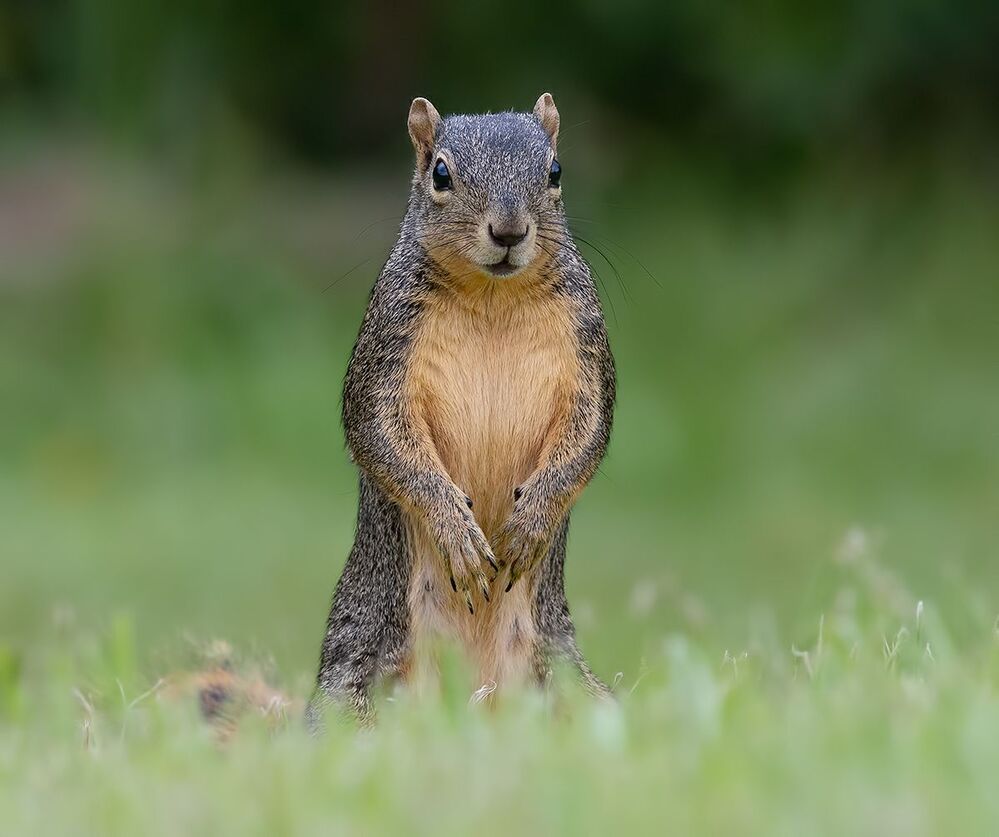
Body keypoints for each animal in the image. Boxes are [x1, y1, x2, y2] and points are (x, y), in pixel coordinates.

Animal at [307, 93, 616, 728]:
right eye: (440, 174)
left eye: (555, 171)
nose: (509, 230)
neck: (493, 295)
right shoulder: (386, 344)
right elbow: (379, 435)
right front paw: (457, 531)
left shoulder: (588, 344)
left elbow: (590, 434)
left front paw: (530, 522)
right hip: (357, 675)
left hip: (568, 679)